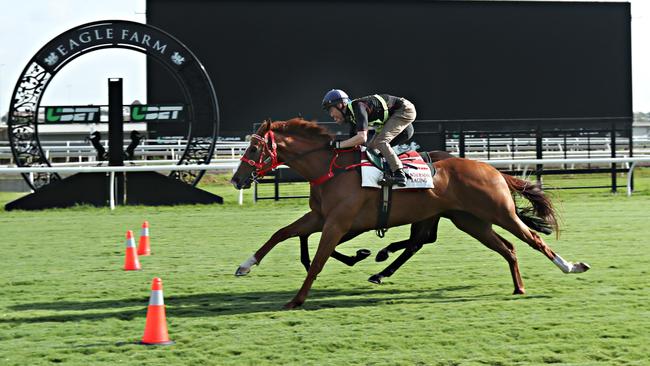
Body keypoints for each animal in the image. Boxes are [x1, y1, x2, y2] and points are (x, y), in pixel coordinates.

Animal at [230, 118, 588, 308]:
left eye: (255, 147)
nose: (236, 179)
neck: (330, 168)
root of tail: (493, 170)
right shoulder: (320, 218)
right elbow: (281, 233)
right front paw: (245, 265)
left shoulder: (337, 222)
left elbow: (318, 259)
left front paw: (297, 299)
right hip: (471, 221)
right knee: (508, 248)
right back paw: (519, 287)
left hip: (500, 213)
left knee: (533, 240)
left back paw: (571, 266)